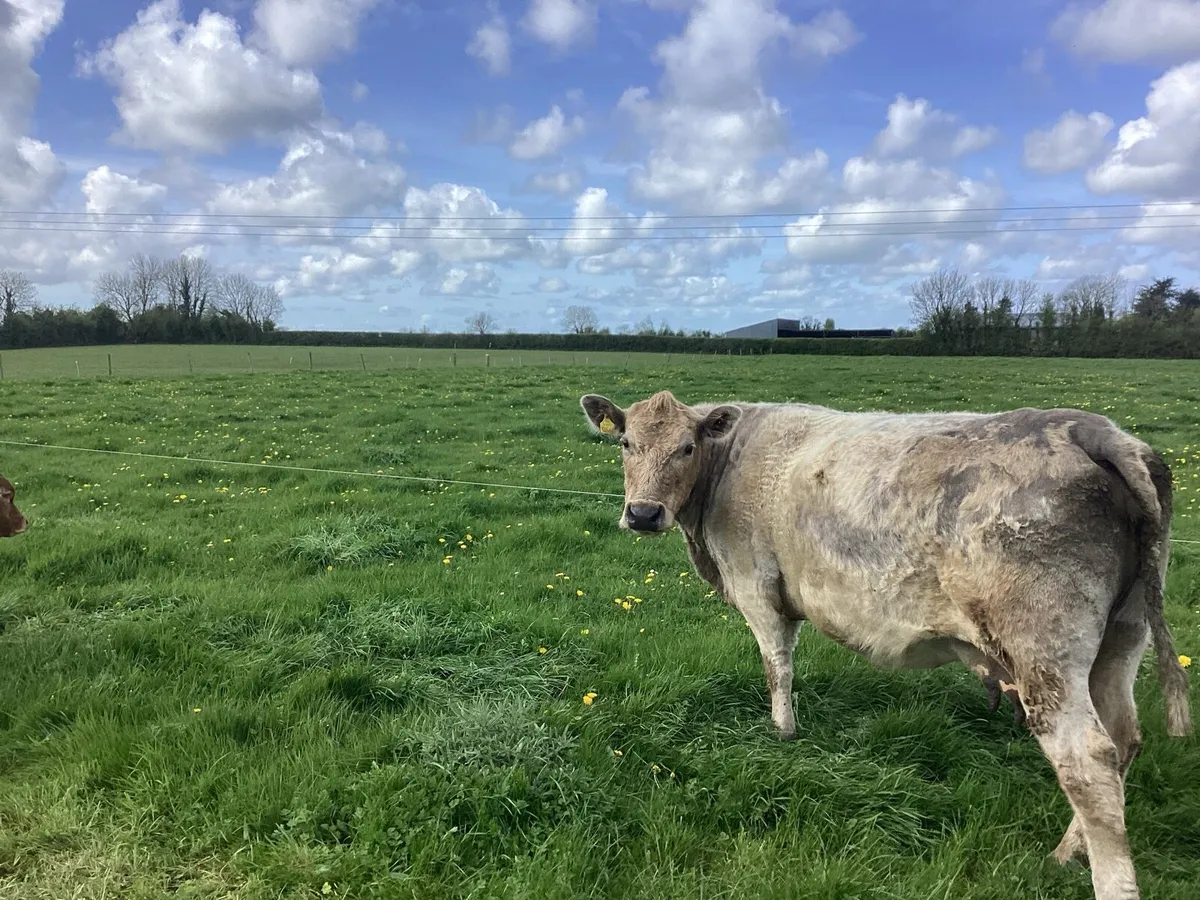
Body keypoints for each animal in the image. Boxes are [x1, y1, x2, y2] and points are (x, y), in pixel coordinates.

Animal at [580, 390, 1192, 900]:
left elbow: (777, 665)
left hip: (1045, 651)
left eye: (686, 447)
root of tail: (1092, 429)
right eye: (627, 443)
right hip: (1122, 638)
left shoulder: (757, 586)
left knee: (1087, 760)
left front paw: (782, 733)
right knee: (1123, 737)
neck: (728, 462)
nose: (643, 513)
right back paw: (1069, 852)